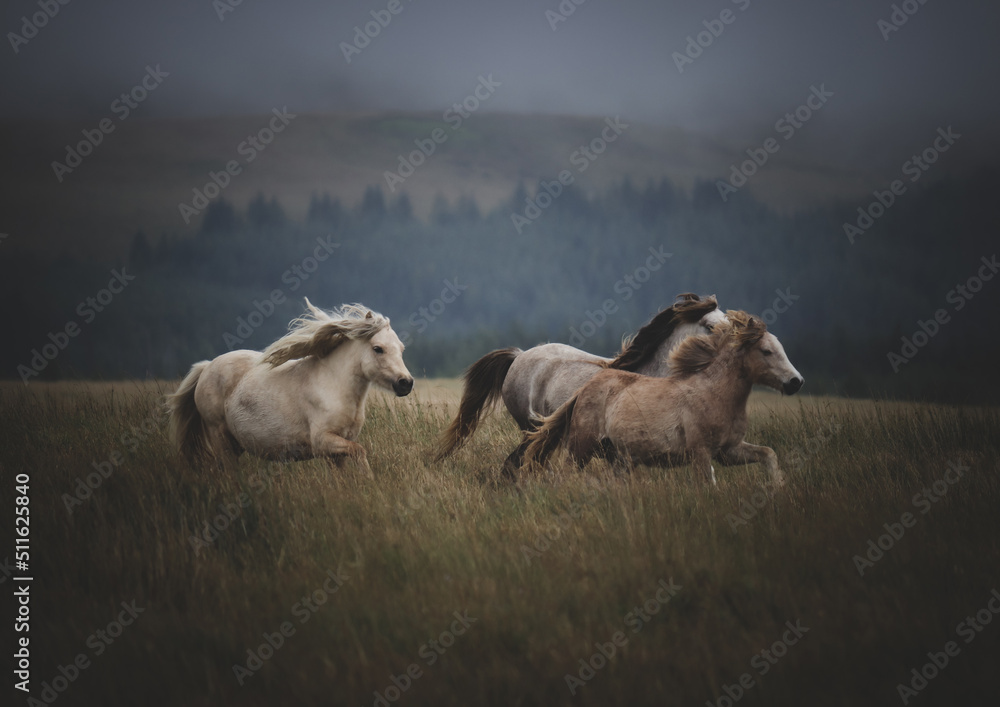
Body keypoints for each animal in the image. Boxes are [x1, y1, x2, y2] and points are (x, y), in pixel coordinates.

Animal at [166, 301, 414, 472]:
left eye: (401, 349)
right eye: (378, 348)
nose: (406, 383)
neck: (334, 387)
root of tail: (206, 367)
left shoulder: (337, 449)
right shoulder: (323, 441)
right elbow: (361, 452)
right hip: (220, 436)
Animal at [522, 310, 803, 487]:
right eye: (766, 351)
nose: (796, 382)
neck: (714, 393)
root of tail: (583, 390)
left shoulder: (729, 451)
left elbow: (768, 454)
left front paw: (778, 487)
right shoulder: (701, 452)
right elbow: (708, 485)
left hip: (620, 459)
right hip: (581, 447)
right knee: (566, 473)